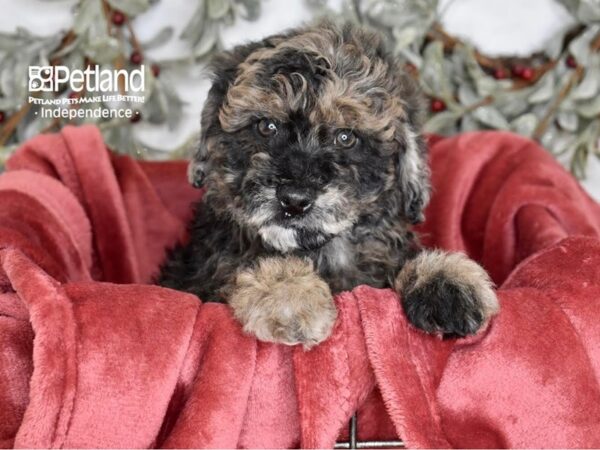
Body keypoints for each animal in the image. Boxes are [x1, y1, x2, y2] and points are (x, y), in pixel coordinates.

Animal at [157, 21, 500, 348]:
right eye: (266, 126)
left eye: (346, 137)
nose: (294, 199)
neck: (318, 252)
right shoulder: (202, 274)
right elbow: (239, 270)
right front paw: (288, 293)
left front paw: (446, 278)